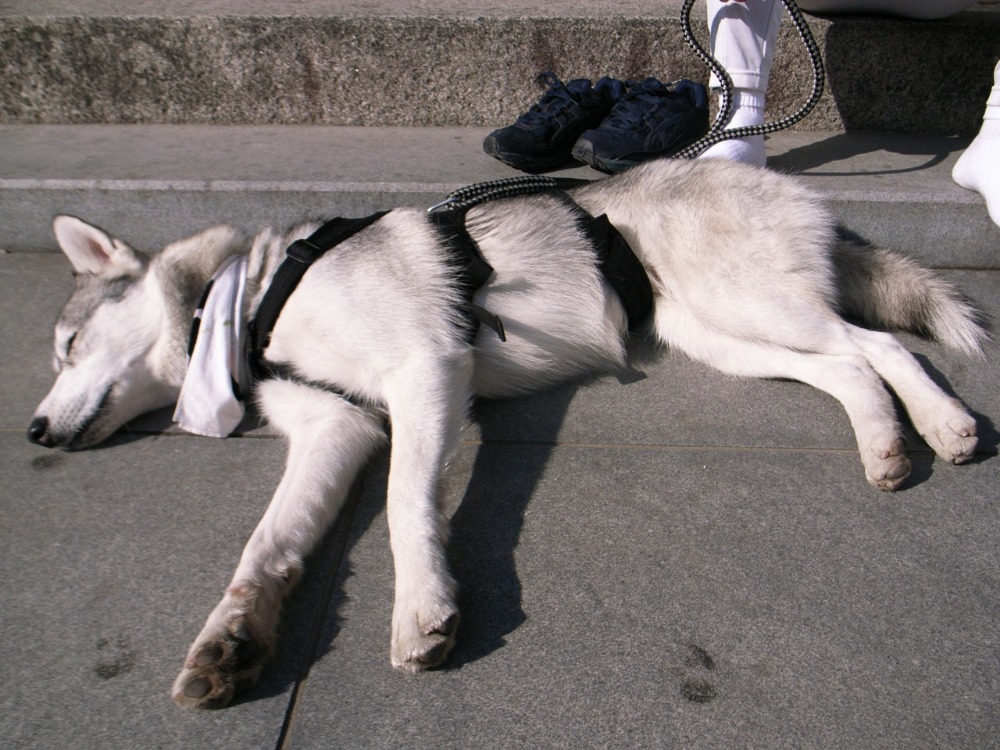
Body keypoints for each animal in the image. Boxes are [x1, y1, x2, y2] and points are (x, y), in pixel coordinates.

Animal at [27, 159, 980, 712]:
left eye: (66, 345)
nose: (33, 430)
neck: (249, 302)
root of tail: (783, 179)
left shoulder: (426, 370)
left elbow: (406, 505)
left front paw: (422, 608)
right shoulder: (339, 423)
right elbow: (266, 549)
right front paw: (231, 640)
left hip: (752, 305)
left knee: (882, 345)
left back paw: (946, 422)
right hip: (720, 336)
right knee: (849, 368)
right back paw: (886, 443)